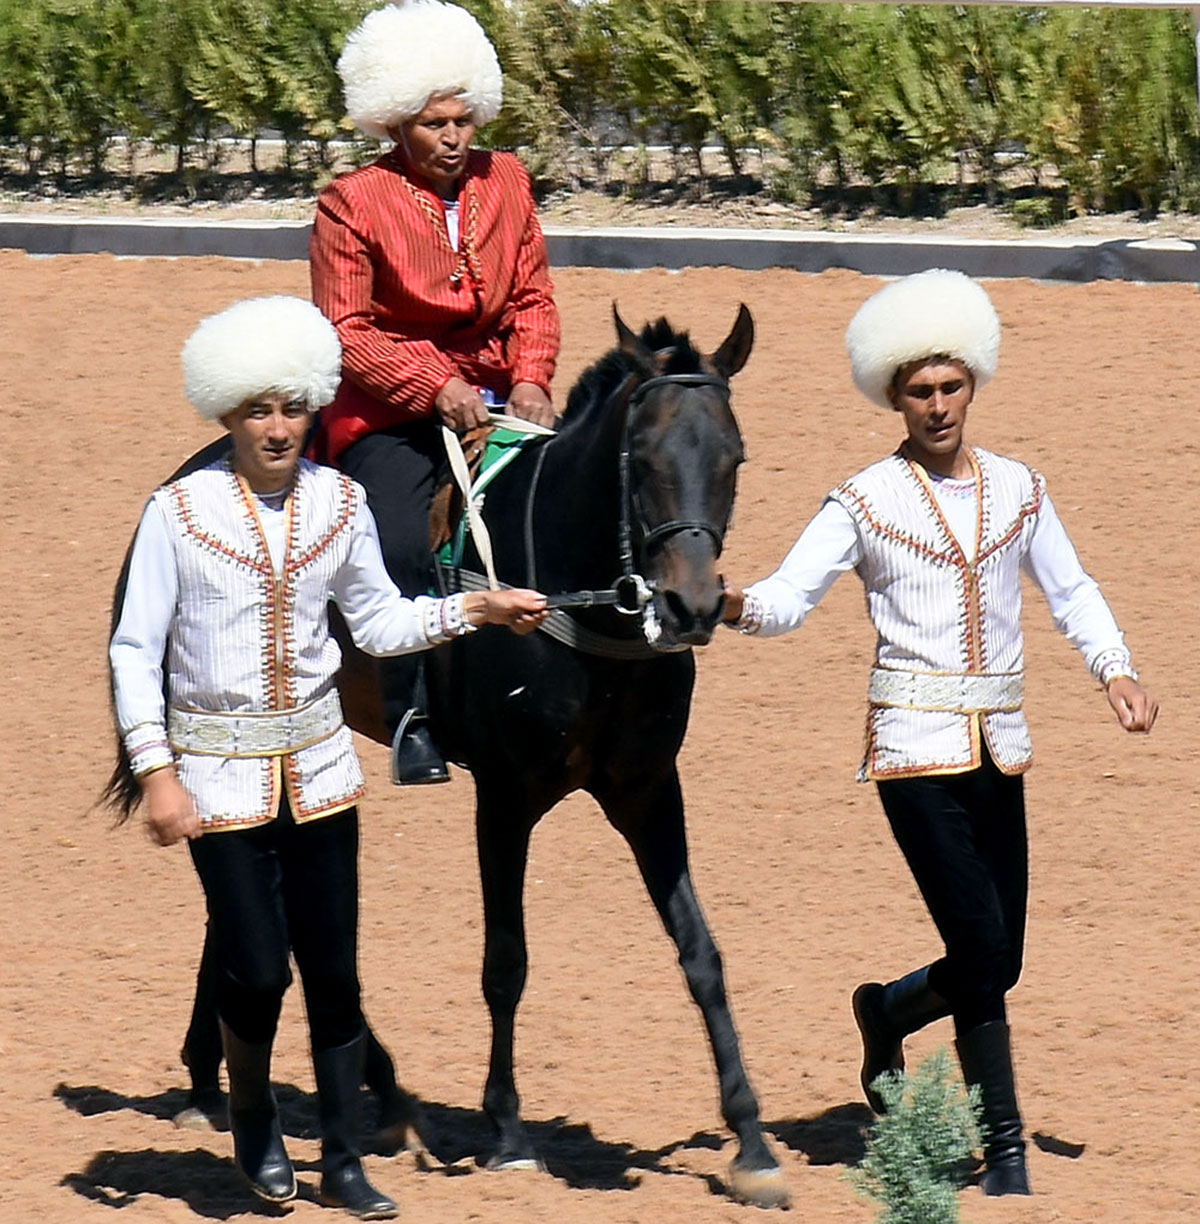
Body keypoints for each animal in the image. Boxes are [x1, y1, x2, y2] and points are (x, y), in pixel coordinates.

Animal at [334, 305, 788, 1208]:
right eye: (642, 459)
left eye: (734, 457)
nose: (690, 605)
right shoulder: (504, 799)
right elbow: (505, 962)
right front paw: (508, 1133)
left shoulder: (648, 792)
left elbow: (702, 954)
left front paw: (751, 1143)